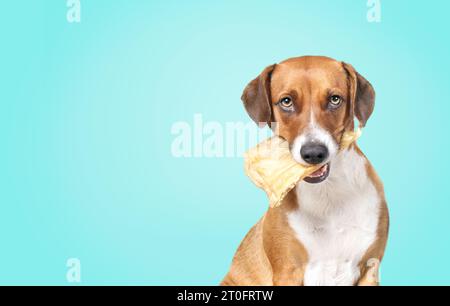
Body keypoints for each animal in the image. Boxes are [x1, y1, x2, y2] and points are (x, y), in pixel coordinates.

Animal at [222, 55, 390, 286]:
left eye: (335, 99)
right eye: (286, 101)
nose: (314, 153)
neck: (328, 193)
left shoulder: (370, 269)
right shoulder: (287, 270)